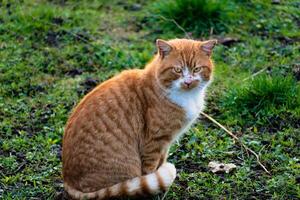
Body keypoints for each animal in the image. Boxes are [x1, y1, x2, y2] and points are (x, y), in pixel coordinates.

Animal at [62, 38, 216, 199]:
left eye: (197, 69)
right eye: (177, 70)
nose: (188, 82)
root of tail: (69, 181)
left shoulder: (166, 142)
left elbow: (162, 161)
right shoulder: (154, 141)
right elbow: (150, 169)